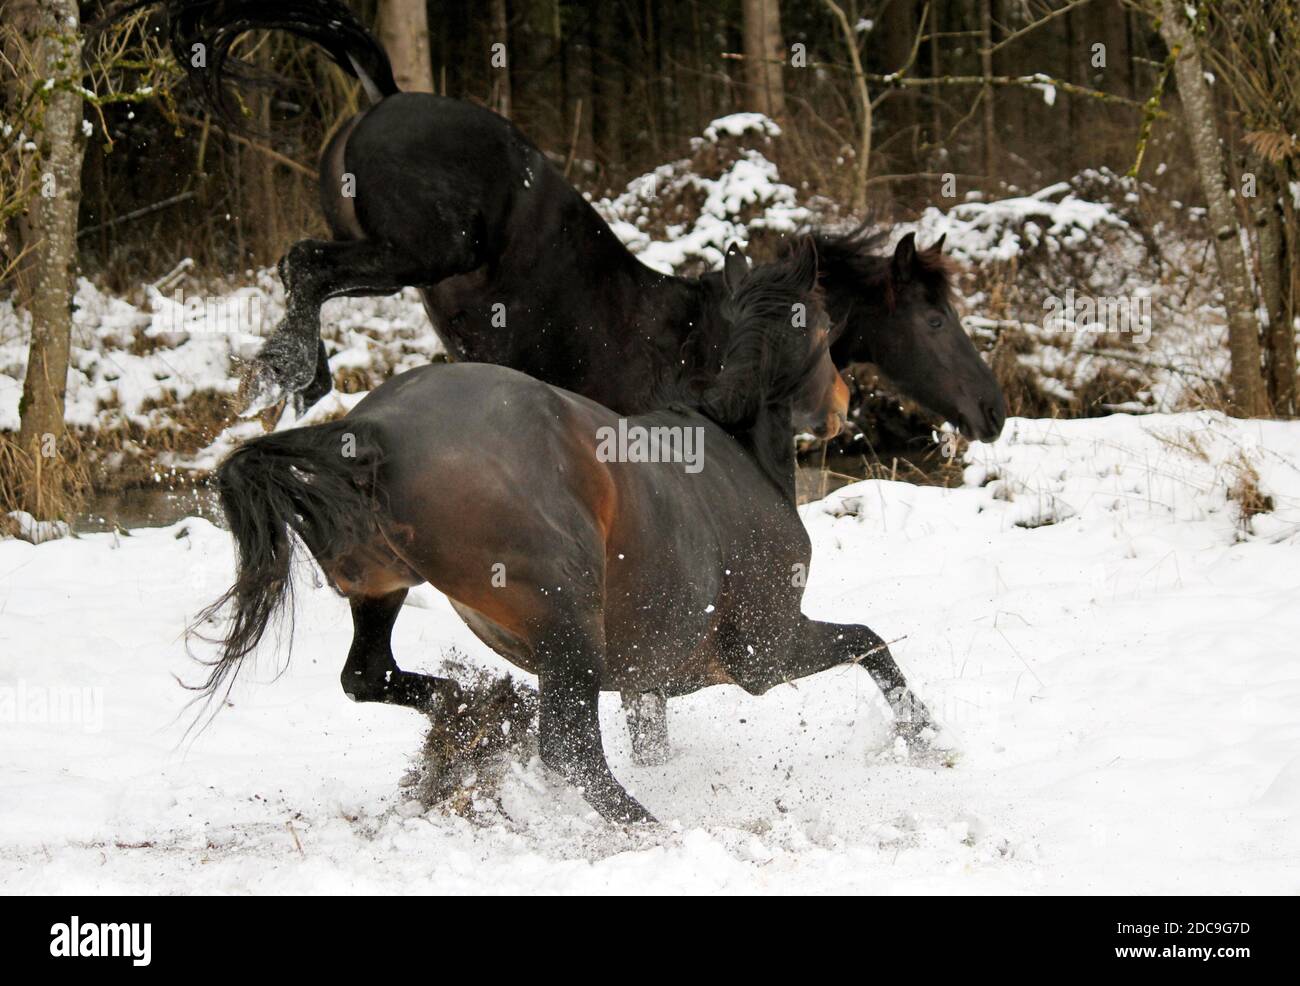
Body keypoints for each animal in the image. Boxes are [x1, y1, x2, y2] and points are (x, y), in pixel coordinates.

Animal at [126, 0, 1006, 443]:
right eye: (935, 319)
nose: (995, 412)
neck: (711, 339)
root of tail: (385, 97)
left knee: (304, 268)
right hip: (423, 251)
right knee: (305, 265)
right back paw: (293, 375)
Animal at [196, 241, 935, 822]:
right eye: (826, 325)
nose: (843, 404)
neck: (736, 446)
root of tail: (374, 429)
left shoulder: (647, 679)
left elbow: (653, 741)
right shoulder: (765, 652)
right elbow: (871, 643)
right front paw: (929, 741)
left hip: (383, 586)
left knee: (368, 675)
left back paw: (474, 712)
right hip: (567, 625)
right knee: (568, 752)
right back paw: (646, 825)